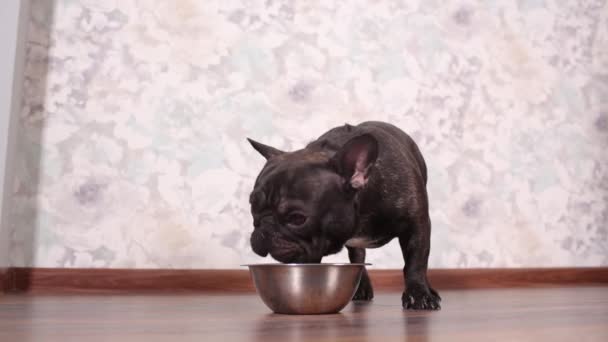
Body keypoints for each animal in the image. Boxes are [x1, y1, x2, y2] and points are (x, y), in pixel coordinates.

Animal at [247, 121, 442, 310]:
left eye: (297, 218)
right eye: (252, 205)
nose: (264, 230)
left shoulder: (417, 226)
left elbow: (416, 262)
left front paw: (419, 295)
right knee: (358, 257)